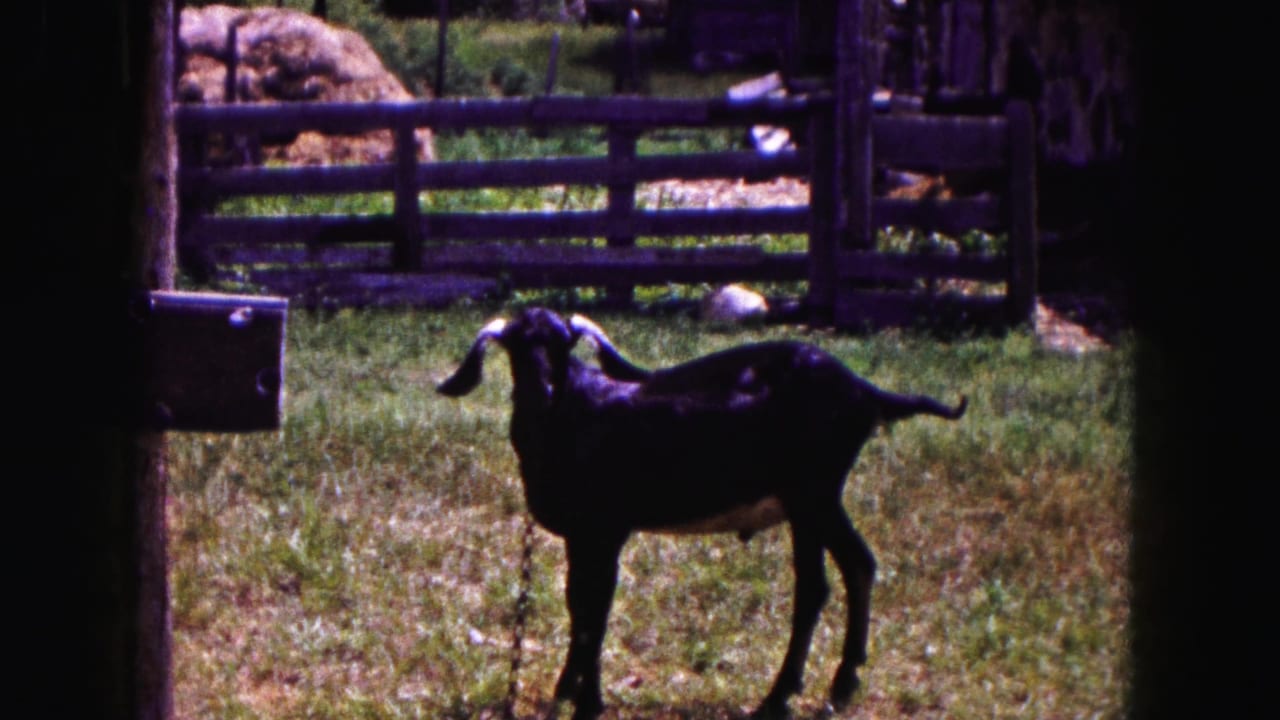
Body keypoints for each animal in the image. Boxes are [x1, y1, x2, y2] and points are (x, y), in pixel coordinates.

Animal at [437, 307, 966, 720]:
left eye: (564, 345)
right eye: (515, 346)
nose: (542, 392)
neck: (575, 415)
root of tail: (864, 391)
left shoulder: (606, 529)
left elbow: (595, 611)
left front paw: (589, 701)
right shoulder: (581, 536)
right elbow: (577, 604)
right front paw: (568, 688)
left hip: (812, 494)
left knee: (824, 582)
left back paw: (782, 696)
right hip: (815, 500)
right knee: (848, 569)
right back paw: (835, 684)